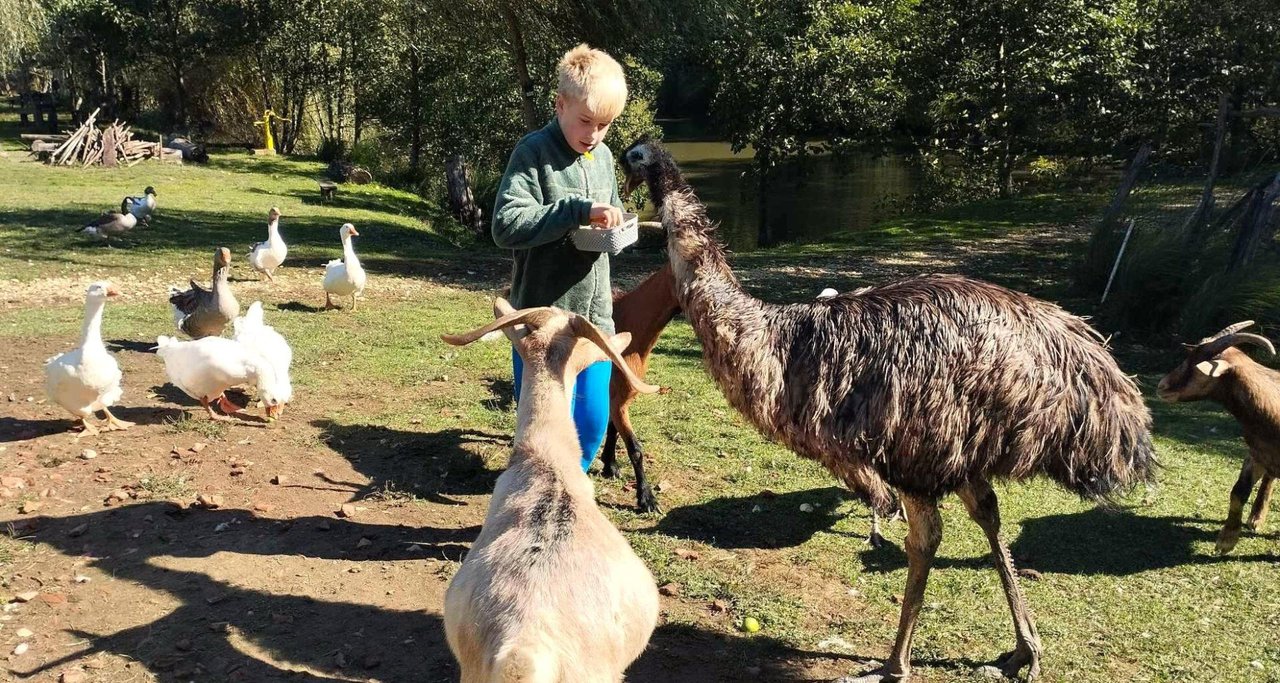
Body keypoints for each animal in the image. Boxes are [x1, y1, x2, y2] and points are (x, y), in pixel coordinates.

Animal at [1157, 322, 1274, 557]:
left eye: (1196, 367)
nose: (1162, 386)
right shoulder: (1256, 454)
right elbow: (1238, 492)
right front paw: (1226, 540)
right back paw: (1255, 518)